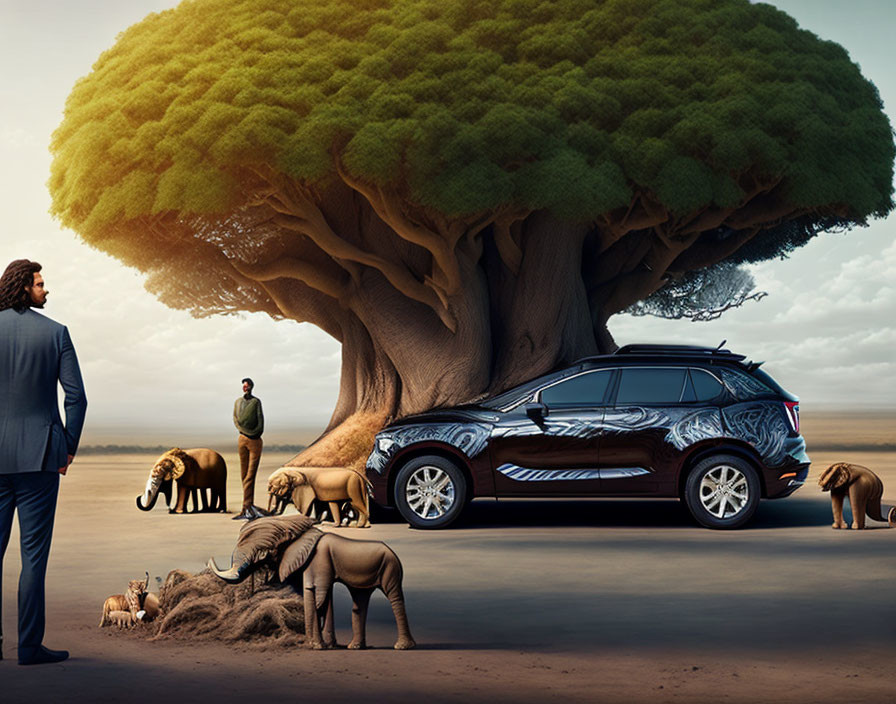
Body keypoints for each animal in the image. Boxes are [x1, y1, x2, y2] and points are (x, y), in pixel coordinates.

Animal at [210, 512, 416, 648]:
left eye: (264, 553)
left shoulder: (320, 559)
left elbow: (318, 594)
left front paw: (316, 646)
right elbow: (318, 593)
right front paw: (323, 645)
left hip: (390, 567)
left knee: (395, 598)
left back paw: (402, 646)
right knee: (360, 602)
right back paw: (355, 647)